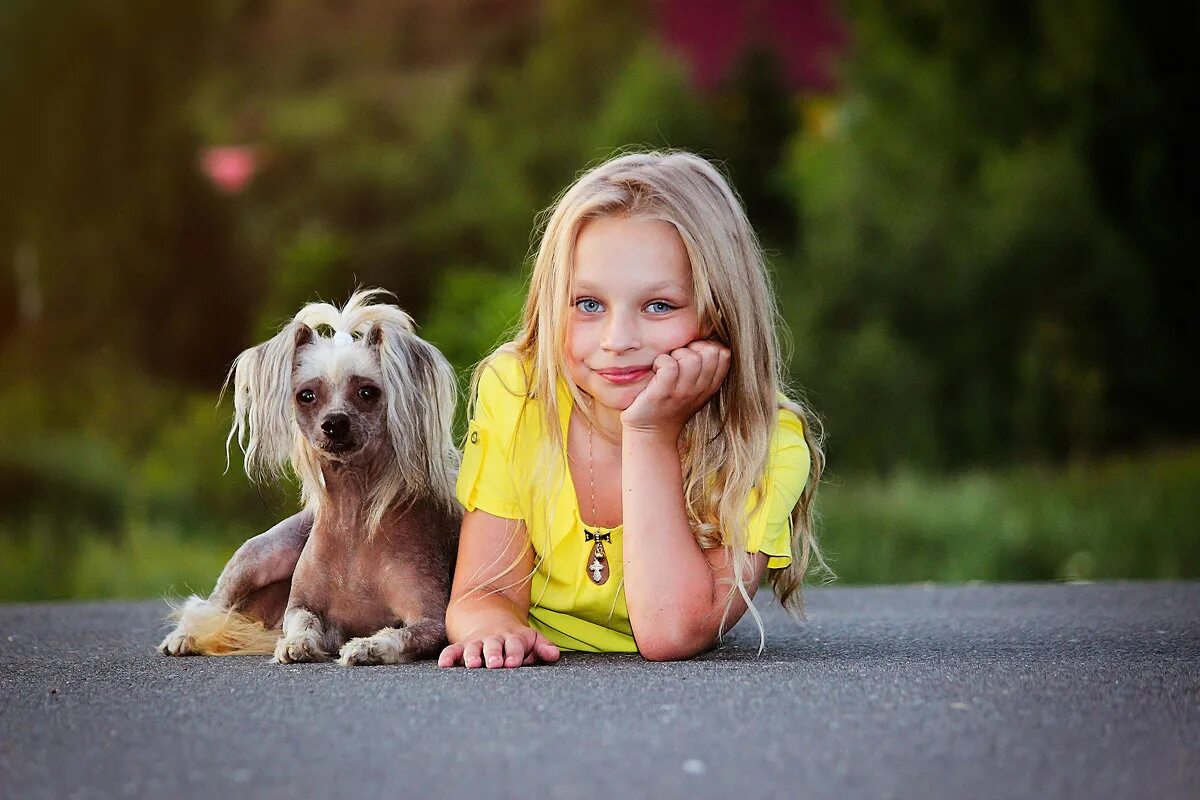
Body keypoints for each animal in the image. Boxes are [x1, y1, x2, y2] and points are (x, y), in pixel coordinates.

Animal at [157, 291, 456, 666]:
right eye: (307, 395)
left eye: (368, 392)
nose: (335, 423)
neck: (353, 516)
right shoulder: (301, 606)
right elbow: (302, 620)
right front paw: (297, 644)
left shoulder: (432, 620)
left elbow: (400, 635)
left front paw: (367, 647)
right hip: (259, 556)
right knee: (208, 606)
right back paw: (182, 637)